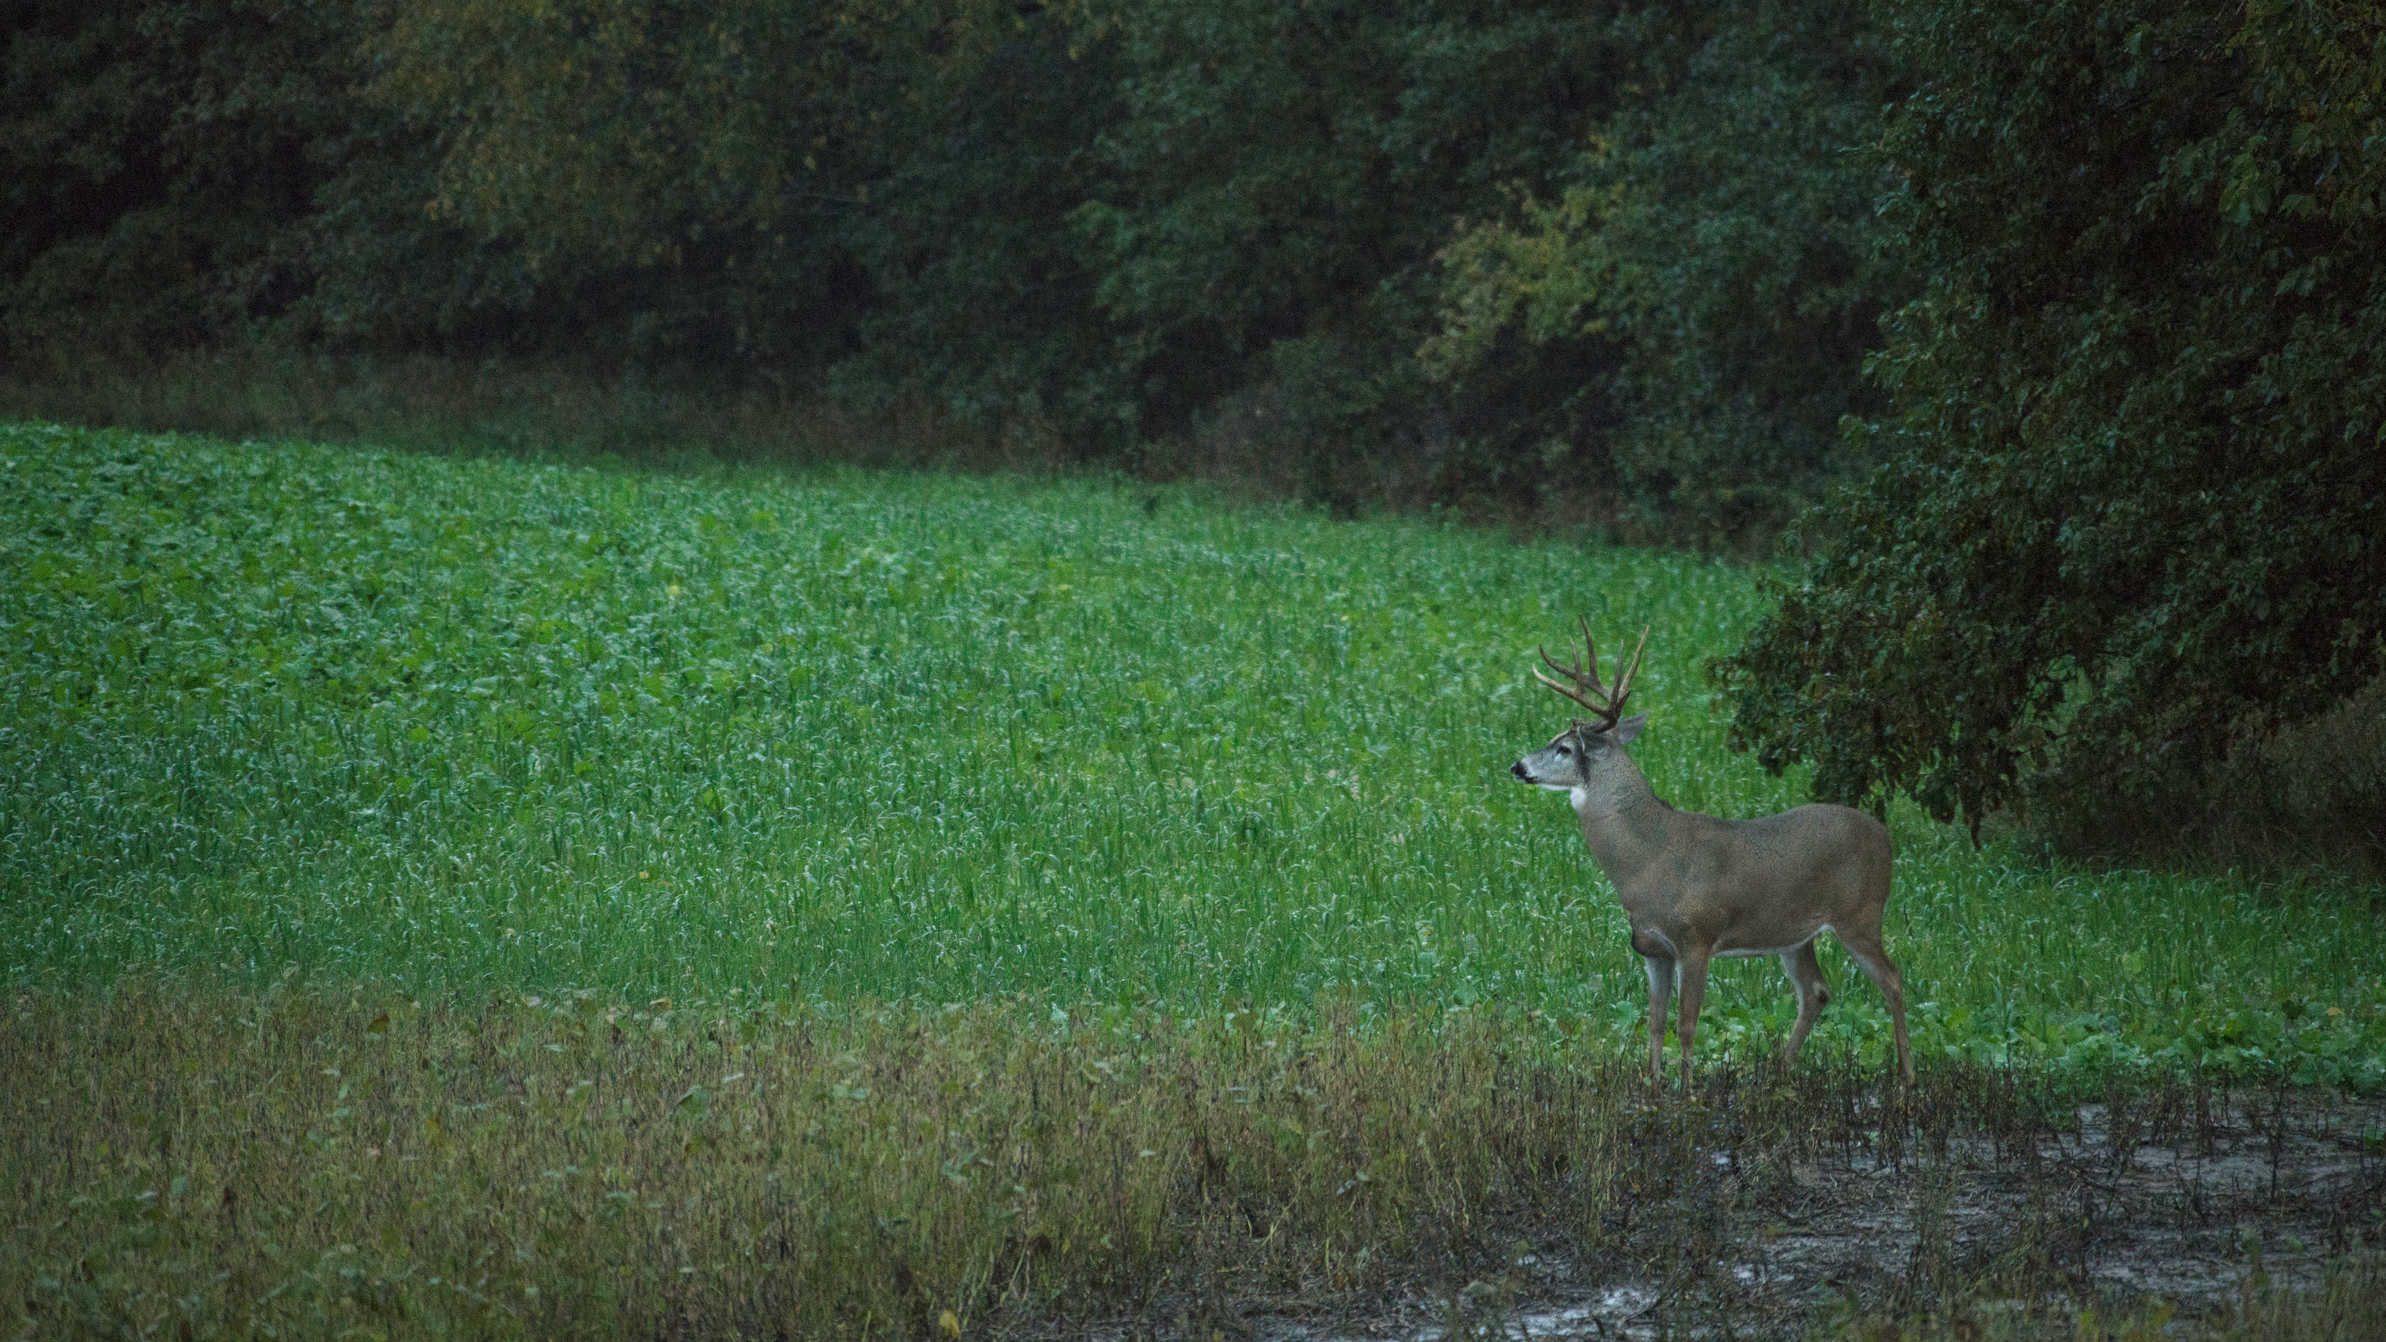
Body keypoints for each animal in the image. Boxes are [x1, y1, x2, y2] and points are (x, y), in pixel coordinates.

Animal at [1507, 616, 1918, 1074]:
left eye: (1563, 747)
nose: (1517, 766)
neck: (1649, 859)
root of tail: (1885, 836)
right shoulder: (1651, 948)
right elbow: (1654, 1023)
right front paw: (1653, 1083)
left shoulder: (1697, 938)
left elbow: (1686, 1025)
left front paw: (1686, 1088)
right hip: (1795, 935)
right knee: (1816, 990)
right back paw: (1780, 1068)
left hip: (1861, 914)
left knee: (1892, 979)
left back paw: (1907, 1074)